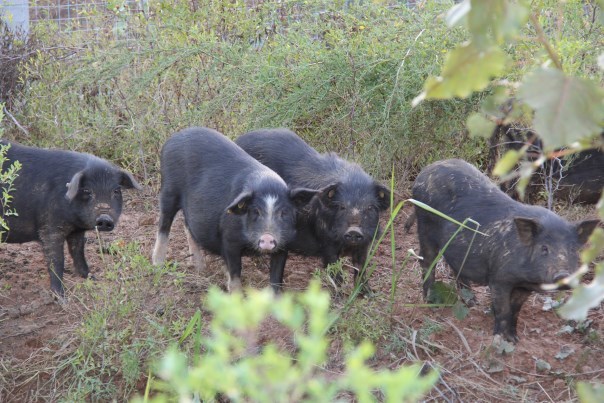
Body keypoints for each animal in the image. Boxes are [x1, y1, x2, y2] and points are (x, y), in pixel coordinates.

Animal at [0, 140, 142, 298]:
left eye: (116, 190)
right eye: (87, 190)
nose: (104, 218)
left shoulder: (77, 231)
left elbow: (78, 252)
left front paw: (92, 278)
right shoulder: (49, 228)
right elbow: (56, 260)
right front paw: (61, 297)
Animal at [151, 128, 316, 292]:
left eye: (284, 212)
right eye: (255, 211)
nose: (268, 237)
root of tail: (174, 137)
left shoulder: (284, 243)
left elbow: (276, 279)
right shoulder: (229, 240)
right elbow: (235, 273)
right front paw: (235, 293)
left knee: (188, 226)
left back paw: (200, 267)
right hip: (168, 190)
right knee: (163, 223)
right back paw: (157, 264)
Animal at [410, 159, 600, 342]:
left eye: (573, 249)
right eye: (544, 248)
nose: (563, 275)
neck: (525, 278)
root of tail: (425, 171)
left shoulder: (524, 287)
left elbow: (515, 311)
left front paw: (514, 340)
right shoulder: (499, 279)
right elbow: (503, 310)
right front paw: (500, 339)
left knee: (456, 266)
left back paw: (472, 302)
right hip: (424, 224)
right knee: (426, 261)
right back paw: (430, 303)